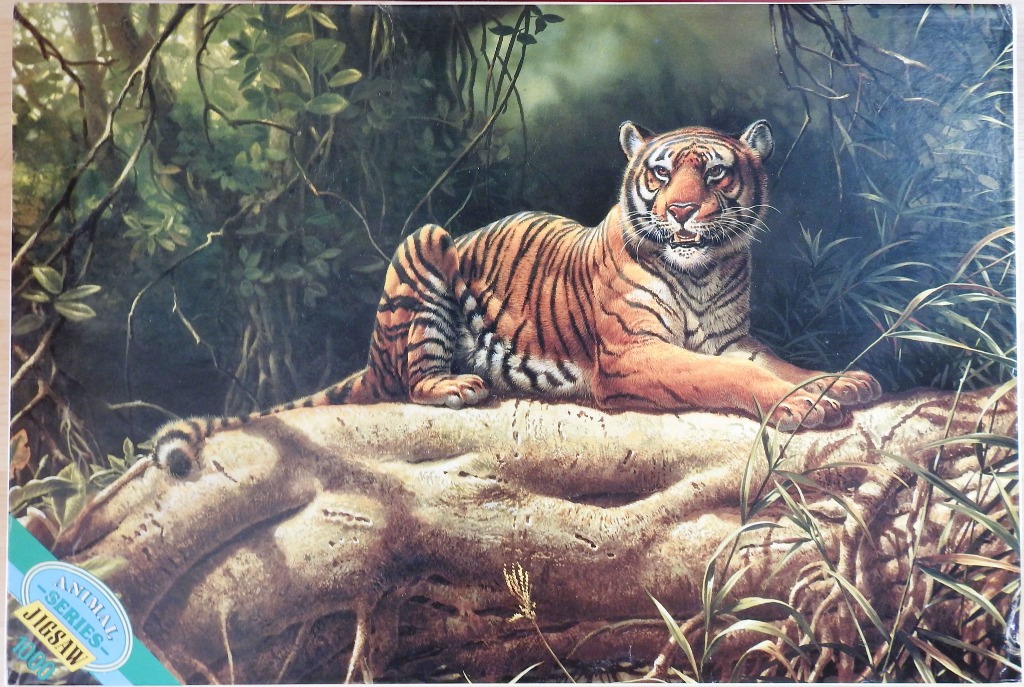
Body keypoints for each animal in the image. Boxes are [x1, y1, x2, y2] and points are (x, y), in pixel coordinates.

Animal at [153, 119, 881, 477]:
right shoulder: (633, 354)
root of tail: (370, 357)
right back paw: (456, 385)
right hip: (424, 247)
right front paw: (800, 405)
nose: (678, 212)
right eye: (660, 173)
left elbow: (777, 363)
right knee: (410, 380)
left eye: (717, 174)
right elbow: (724, 378)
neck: (700, 270)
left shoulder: (733, 337)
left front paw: (841, 381)